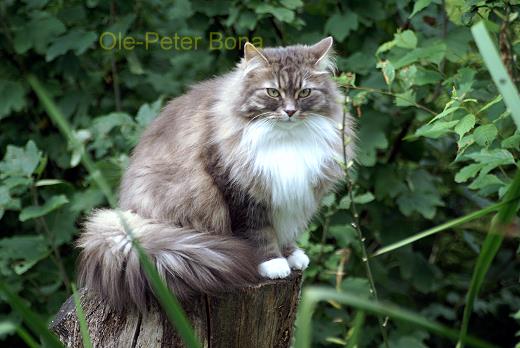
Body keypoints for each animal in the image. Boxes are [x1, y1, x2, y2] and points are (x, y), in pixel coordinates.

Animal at [77, 36, 356, 312]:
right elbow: (259, 233)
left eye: (304, 92)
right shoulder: (240, 192)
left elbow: (286, 231)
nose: (290, 111)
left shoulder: (292, 197)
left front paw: (292, 255)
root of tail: (126, 221)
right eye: (273, 92)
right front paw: (273, 263)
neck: (286, 140)